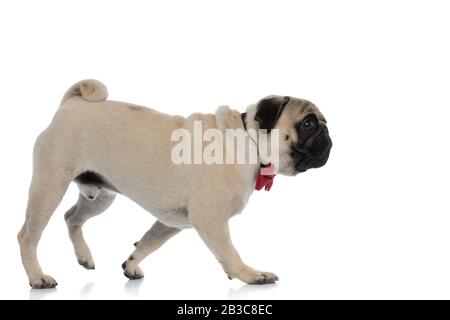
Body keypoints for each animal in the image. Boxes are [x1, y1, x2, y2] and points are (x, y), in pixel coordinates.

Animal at [17, 79, 330, 288]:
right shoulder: (209, 219)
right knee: (28, 235)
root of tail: (70, 104)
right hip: (50, 185)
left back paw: (84, 256)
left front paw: (131, 263)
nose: (329, 137)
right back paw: (37, 277)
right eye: (308, 124)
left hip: (101, 197)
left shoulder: (173, 221)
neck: (247, 141)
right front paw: (250, 274)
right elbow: (229, 252)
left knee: (72, 218)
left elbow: (148, 242)